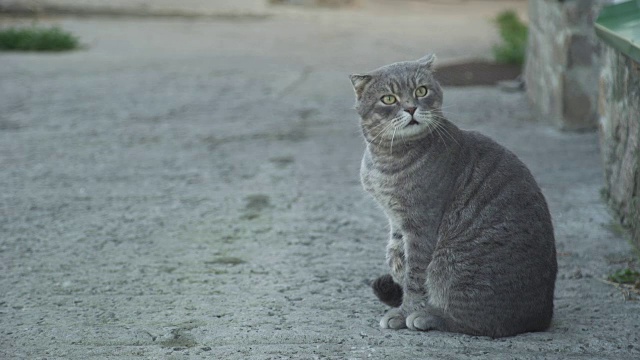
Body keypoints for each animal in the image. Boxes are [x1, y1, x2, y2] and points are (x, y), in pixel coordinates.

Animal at [350, 54, 556, 338]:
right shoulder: (396, 221)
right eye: (389, 99)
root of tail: (542, 317)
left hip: (450, 264)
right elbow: (396, 258)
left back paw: (428, 316)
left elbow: (415, 278)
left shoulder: (421, 227)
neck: (386, 158)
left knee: (478, 323)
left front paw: (403, 312)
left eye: (421, 91)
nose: (411, 108)